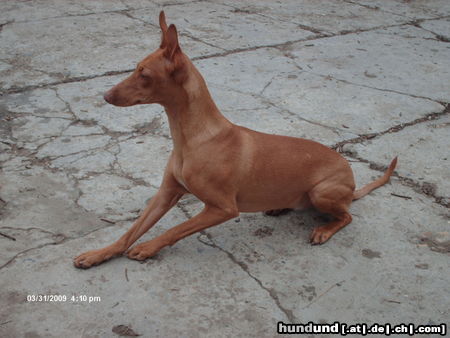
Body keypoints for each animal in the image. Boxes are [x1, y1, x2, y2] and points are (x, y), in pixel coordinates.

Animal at [74, 11, 398, 268]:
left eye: (143, 74)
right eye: (136, 68)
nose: (105, 96)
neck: (192, 138)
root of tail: (352, 182)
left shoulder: (223, 208)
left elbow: (176, 229)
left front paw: (148, 247)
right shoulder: (166, 193)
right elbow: (131, 230)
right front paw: (98, 254)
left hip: (323, 191)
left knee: (347, 216)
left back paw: (324, 229)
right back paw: (281, 205)